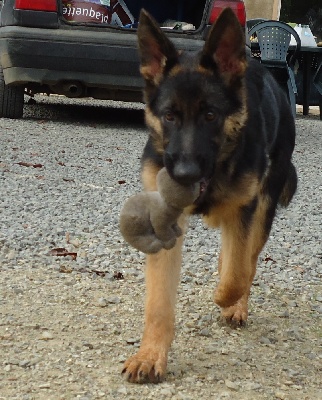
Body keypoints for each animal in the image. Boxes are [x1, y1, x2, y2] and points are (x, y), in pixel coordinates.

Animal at [122, 7, 296, 382]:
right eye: (169, 116)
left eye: (211, 115)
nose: (184, 174)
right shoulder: (164, 229)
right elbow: (158, 304)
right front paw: (150, 355)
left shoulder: (245, 211)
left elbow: (238, 273)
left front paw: (225, 297)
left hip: (264, 209)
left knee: (249, 261)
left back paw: (236, 305)